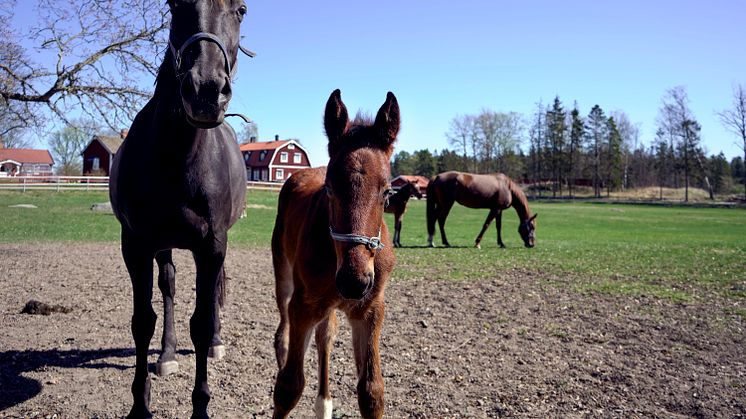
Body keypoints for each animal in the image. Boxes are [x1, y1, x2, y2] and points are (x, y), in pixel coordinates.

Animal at [109, 1, 251, 418]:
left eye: (241, 10)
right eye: (175, 6)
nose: (205, 91)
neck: (177, 156)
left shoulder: (212, 245)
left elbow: (201, 323)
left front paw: (201, 406)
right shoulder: (136, 245)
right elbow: (143, 321)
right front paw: (140, 406)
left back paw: (217, 342)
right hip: (164, 245)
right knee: (169, 286)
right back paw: (168, 354)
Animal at [270, 89, 398, 419]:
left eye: (388, 192)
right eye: (329, 188)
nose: (354, 282)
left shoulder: (370, 311)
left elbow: (372, 392)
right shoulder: (303, 305)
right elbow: (288, 387)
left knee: (325, 337)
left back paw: (324, 404)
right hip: (284, 275)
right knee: (283, 336)